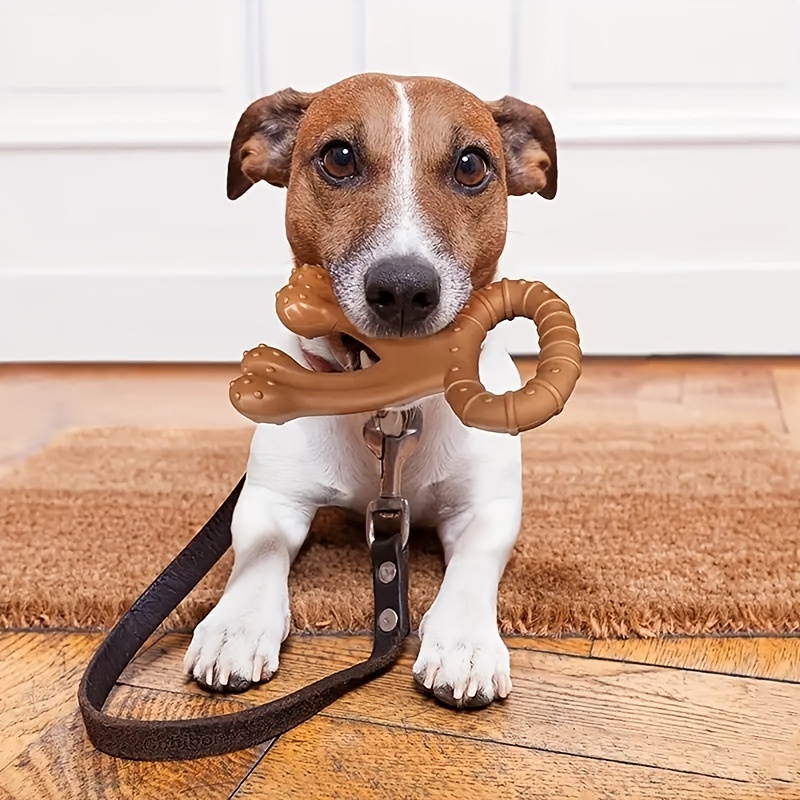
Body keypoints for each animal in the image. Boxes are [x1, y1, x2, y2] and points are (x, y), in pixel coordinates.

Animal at [183, 70, 556, 708]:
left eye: (471, 166)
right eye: (339, 157)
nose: (403, 289)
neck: (390, 406)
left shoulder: (486, 508)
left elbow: (475, 562)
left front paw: (464, 640)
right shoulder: (271, 499)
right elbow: (258, 553)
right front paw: (237, 623)